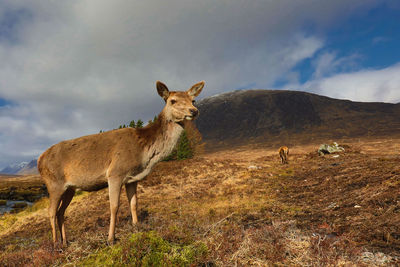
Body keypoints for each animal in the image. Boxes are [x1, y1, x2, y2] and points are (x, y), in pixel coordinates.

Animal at [37, 80, 205, 246]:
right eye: (173, 100)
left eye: (193, 100)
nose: (194, 111)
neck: (144, 153)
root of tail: (40, 160)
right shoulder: (115, 173)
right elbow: (114, 206)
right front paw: (111, 238)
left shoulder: (132, 179)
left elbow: (134, 203)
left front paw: (136, 228)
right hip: (54, 183)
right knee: (51, 212)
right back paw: (55, 244)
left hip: (69, 188)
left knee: (60, 212)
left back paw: (65, 242)